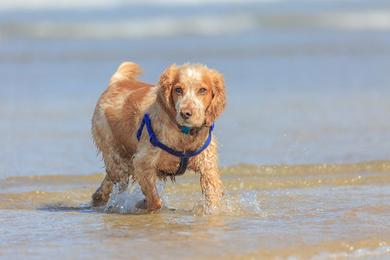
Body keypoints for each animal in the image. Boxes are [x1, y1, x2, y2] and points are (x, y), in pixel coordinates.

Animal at [91, 62, 225, 212]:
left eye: (202, 90)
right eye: (178, 89)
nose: (185, 113)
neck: (183, 135)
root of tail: (117, 82)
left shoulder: (208, 166)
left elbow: (213, 197)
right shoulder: (142, 162)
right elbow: (155, 200)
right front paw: (143, 204)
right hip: (118, 161)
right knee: (113, 178)